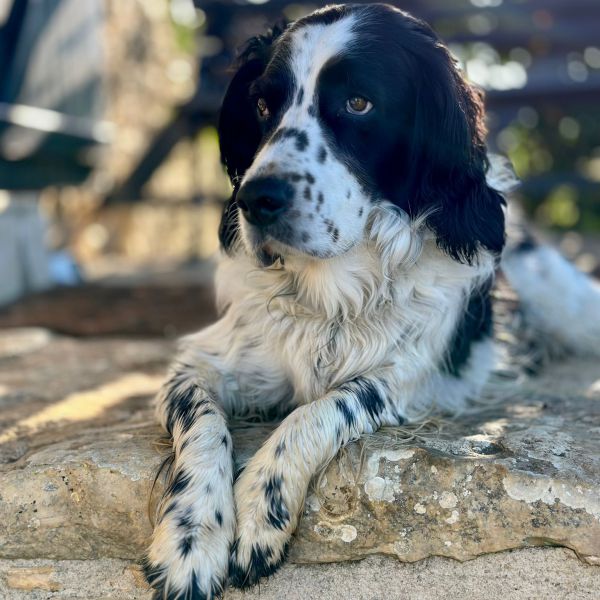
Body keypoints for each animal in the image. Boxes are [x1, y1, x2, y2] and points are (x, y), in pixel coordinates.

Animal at [144, 2, 600, 596]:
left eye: (358, 103)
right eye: (264, 105)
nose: (256, 198)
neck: (331, 292)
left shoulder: (413, 376)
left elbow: (322, 408)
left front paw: (262, 508)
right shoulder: (200, 363)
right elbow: (202, 424)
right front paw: (190, 535)